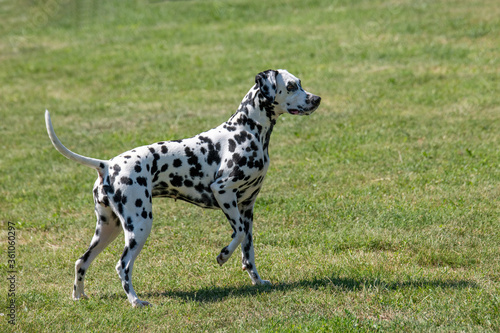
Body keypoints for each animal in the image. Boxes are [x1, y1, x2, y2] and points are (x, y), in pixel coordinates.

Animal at [45, 69, 322, 306]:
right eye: (291, 86)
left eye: (300, 83)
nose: (317, 99)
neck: (246, 131)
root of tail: (107, 164)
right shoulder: (224, 193)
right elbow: (239, 234)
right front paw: (223, 255)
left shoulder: (247, 208)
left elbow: (248, 251)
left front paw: (257, 280)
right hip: (139, 226)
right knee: (122, 266)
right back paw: (135, 301)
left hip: (108, 229)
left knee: (81, 262)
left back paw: (79, 297)